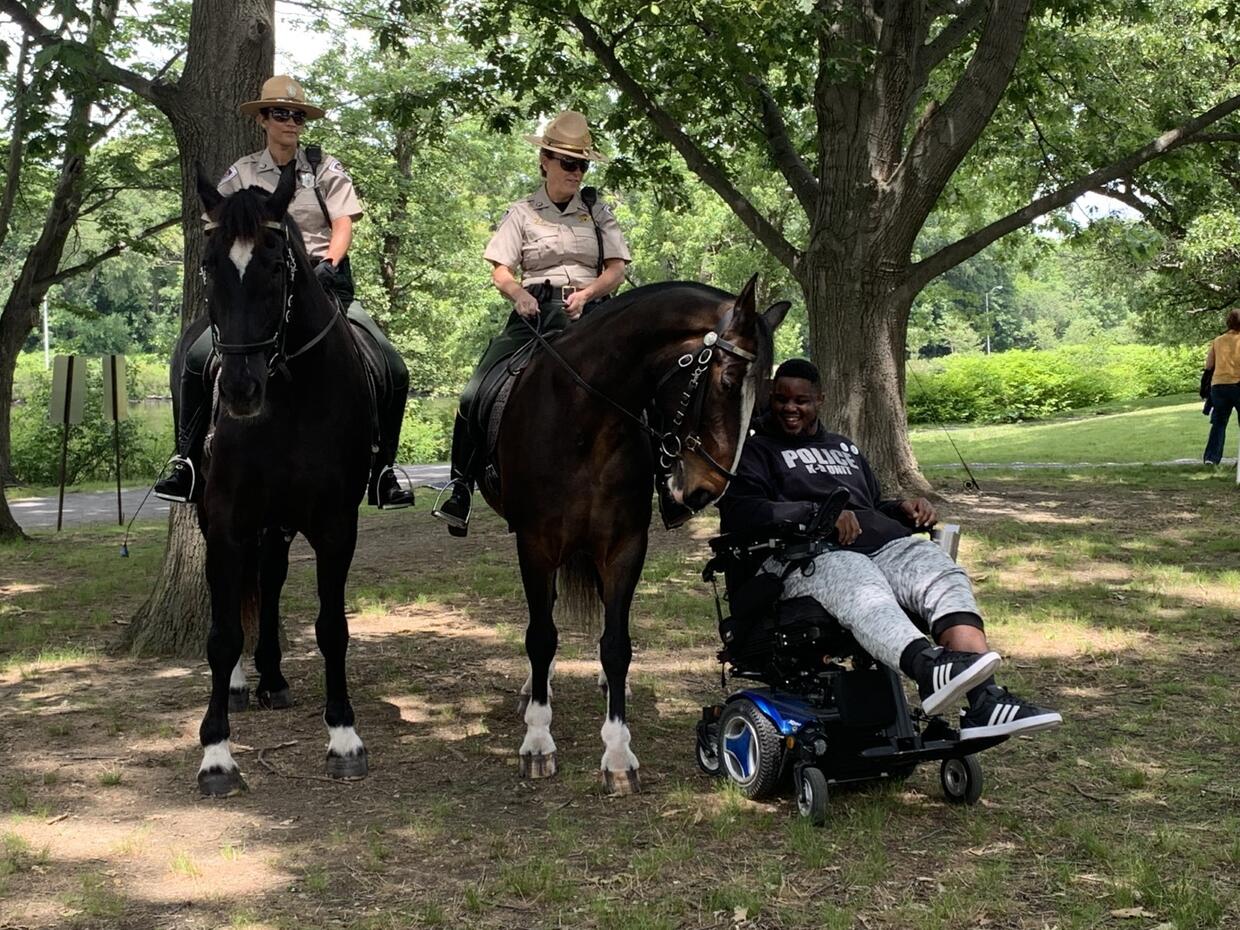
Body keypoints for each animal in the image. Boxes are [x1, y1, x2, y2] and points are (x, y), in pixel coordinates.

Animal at [186, 163, 372, 798]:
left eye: (274, 264)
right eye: (210, 264)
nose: (241, 389)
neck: (287, 398)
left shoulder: (337, 525)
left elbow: (332, 627)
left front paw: (343, 736)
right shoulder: (225, 522)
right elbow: (220, 634)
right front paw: (216, 754)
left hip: (280, 522)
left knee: (268, 581)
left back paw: (272, 677)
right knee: (247, 590)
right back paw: (247, 682)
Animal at [483, 275, 783, 793]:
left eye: (764, 398)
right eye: (727, 382)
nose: (706, 491)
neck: (585, 421)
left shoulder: (624, 547)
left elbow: (616, 645)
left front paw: (618, 753)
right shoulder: (534, 544)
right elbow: (540, 636)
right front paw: (538, 741)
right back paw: (534, 688)